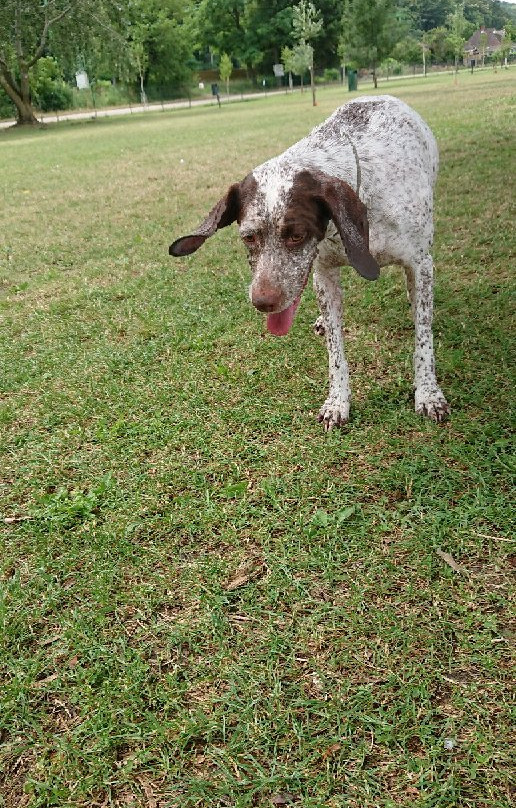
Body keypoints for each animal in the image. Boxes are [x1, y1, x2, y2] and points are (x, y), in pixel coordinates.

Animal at [169, 94, 448, 430]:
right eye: (249, 237)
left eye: (296, 235)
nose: (263, 302)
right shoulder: (324, 273)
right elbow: (336, 352)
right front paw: (338, 401)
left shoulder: (420, 264)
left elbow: (423, 340)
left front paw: (428, 393)